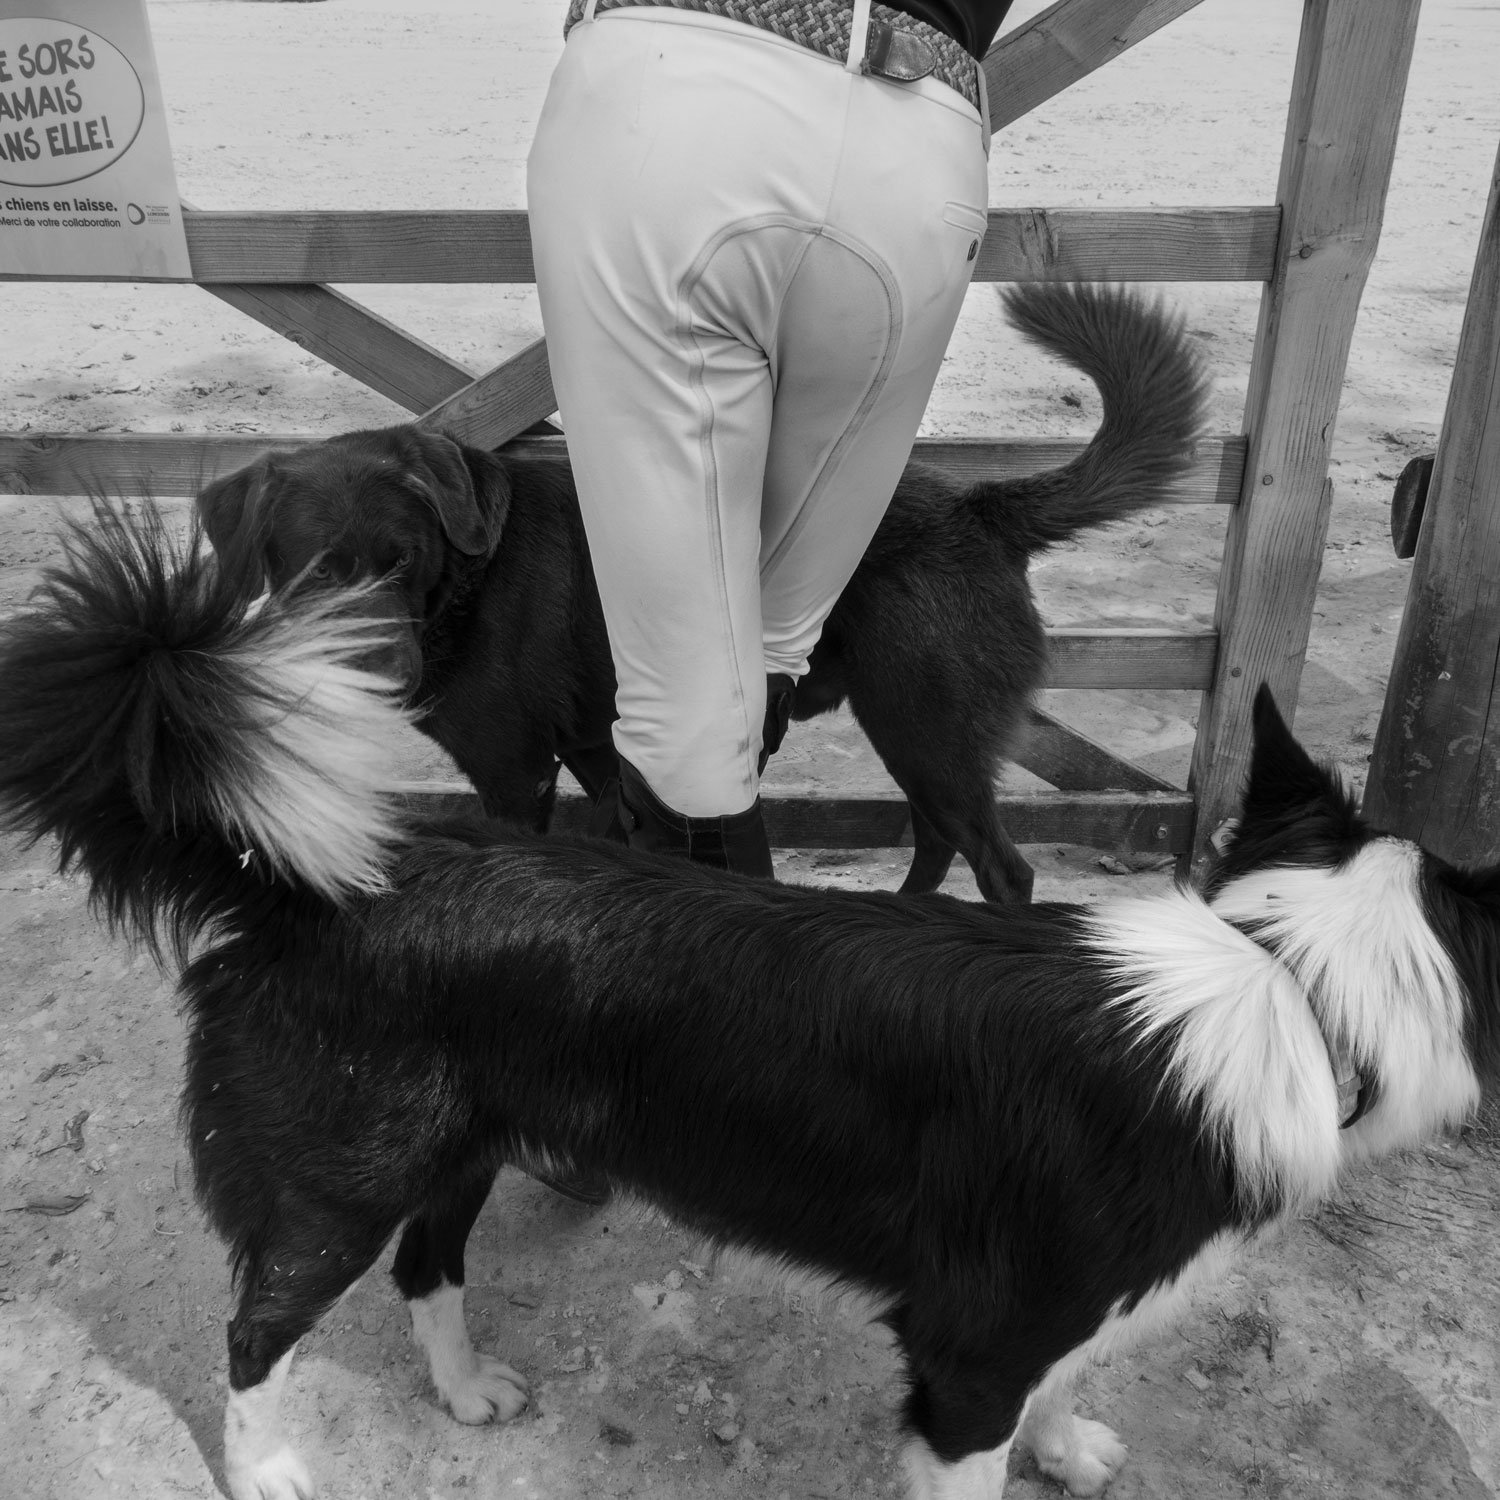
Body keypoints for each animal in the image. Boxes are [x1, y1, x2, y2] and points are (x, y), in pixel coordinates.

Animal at [3, 510, 1496, 1500]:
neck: (1290, 983)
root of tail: (321, 884)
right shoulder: (966, 1361)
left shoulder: (1039, 1322)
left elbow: (1069, 1375)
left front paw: (1067, 1443)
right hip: (334, 1186)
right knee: (255, 1330)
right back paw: (267, 1468)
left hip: (457, 1144)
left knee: (430, 1266)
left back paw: (468, 1391)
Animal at [194, 282, 1209, 902]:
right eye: (312, 573)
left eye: (405, 561)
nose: (384, 672)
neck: (464, 589)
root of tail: (981, 506)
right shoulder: (598, 750)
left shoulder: (514, 771)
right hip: (917, 734)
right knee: (932, 839)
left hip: (930, 730)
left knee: (1002, 867)